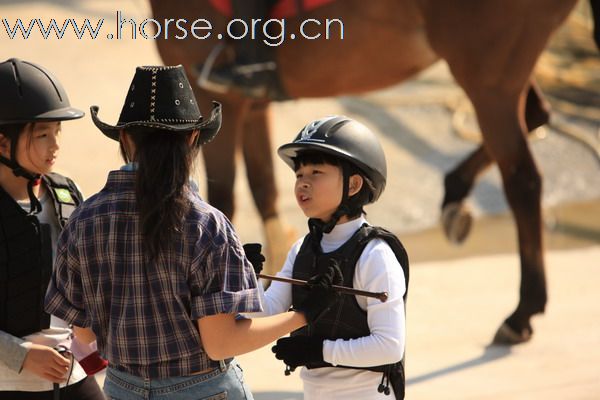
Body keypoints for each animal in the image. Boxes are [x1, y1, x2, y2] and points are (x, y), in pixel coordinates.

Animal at [150, 0, 584, 344]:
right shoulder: (253, 105)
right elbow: (264, 188)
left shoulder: (216, 95)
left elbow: (223, 197)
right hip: (500, 76)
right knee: (537, 115)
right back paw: (456, 197)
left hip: (488, 77)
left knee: (523, 178)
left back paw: (521, 312)